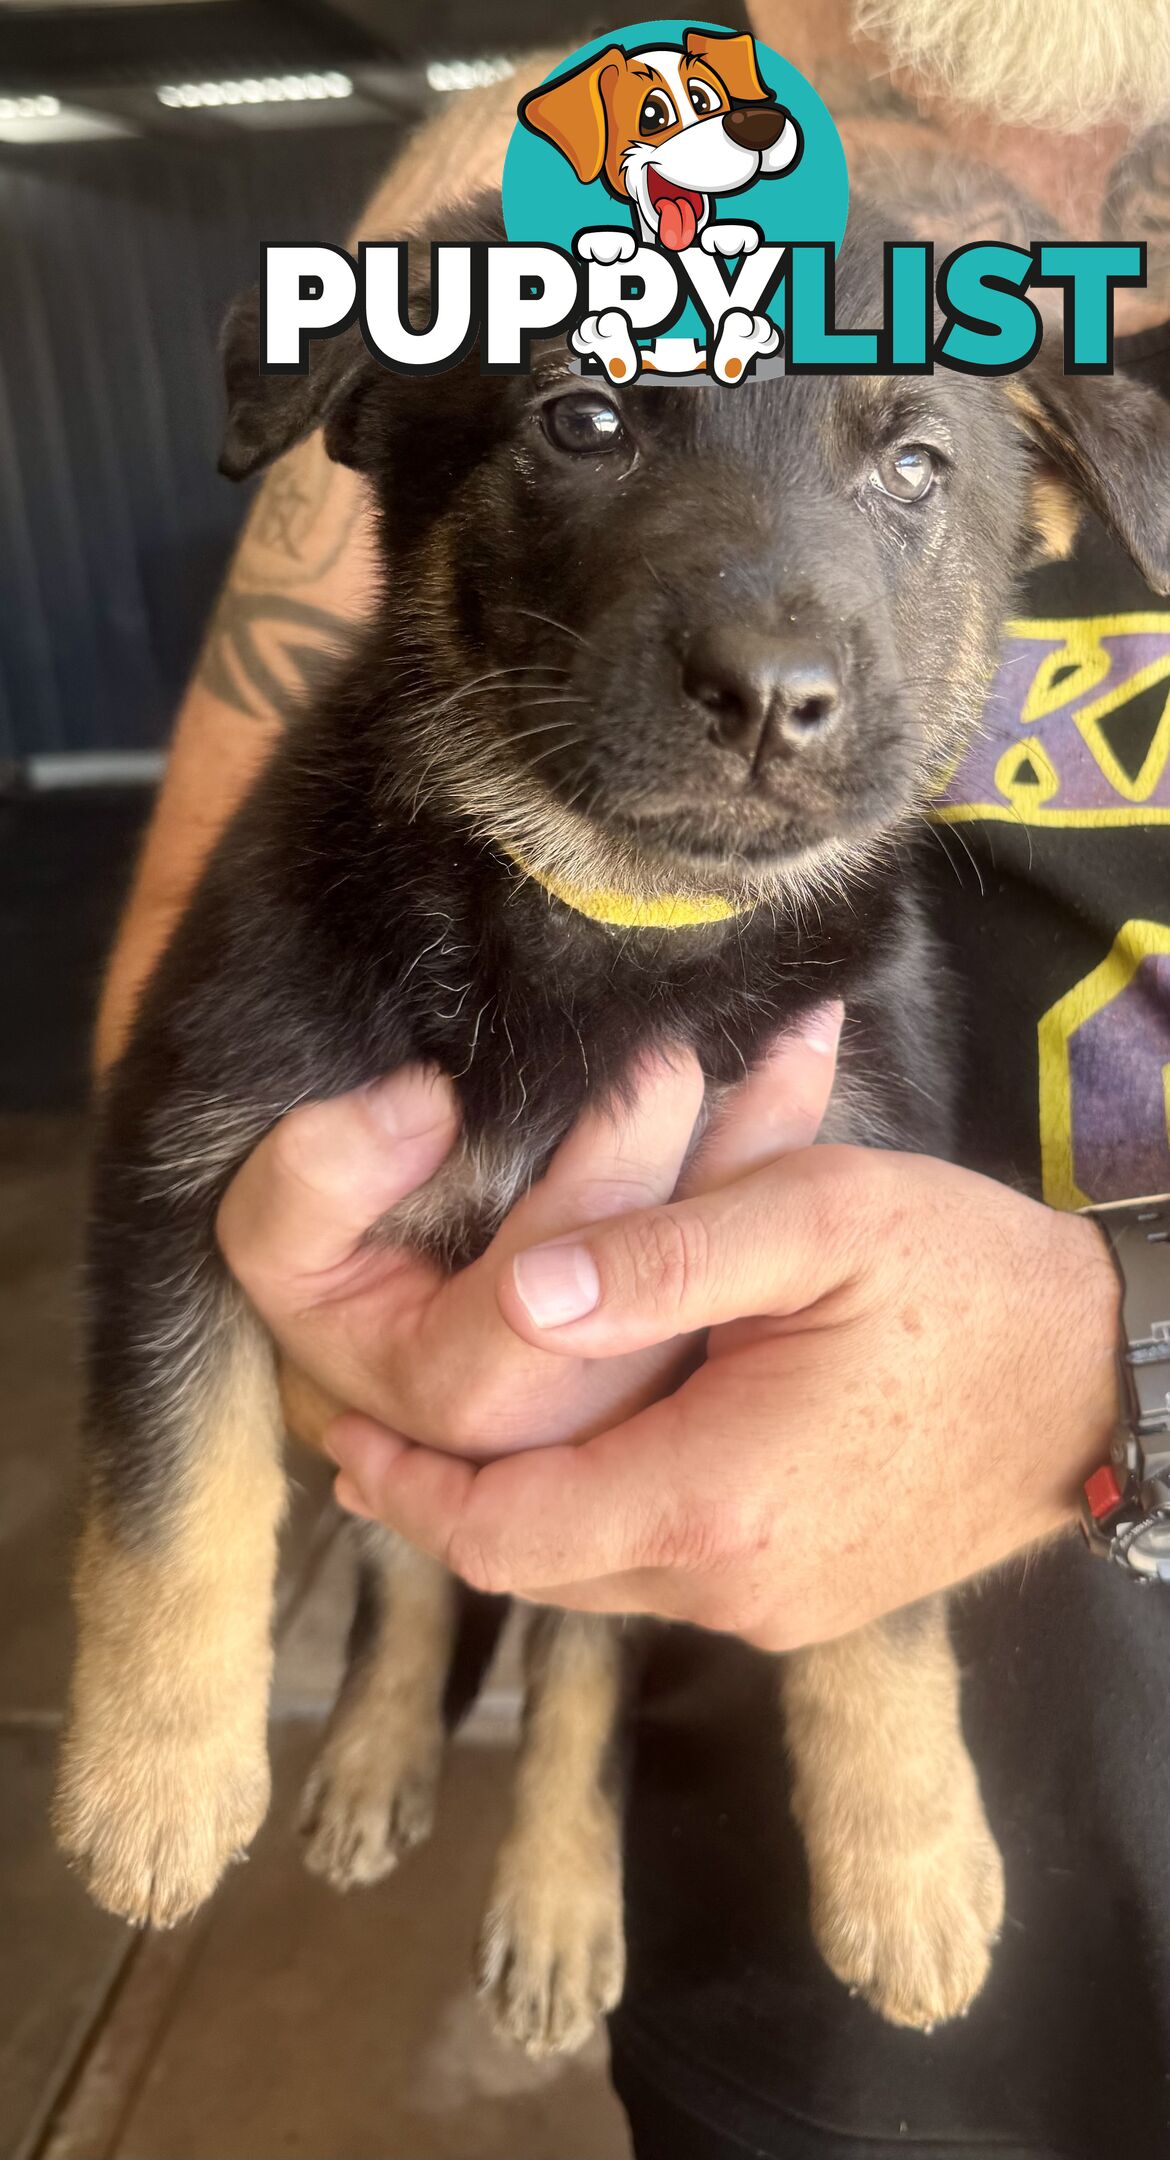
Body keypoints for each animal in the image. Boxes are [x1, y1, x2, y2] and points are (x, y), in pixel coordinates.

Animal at [57, 203, 1170, 2056]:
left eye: (915, 467)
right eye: (583, 420)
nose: (772, 696)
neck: (609, 914)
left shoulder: (853, 1328)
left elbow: (873, 1610)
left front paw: (913, 1865)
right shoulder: (183, 1149)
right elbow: (172, 1484)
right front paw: (152, 1779)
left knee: (569, 1663)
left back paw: (562, 1905)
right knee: (413, 1567)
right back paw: (370, 1758)